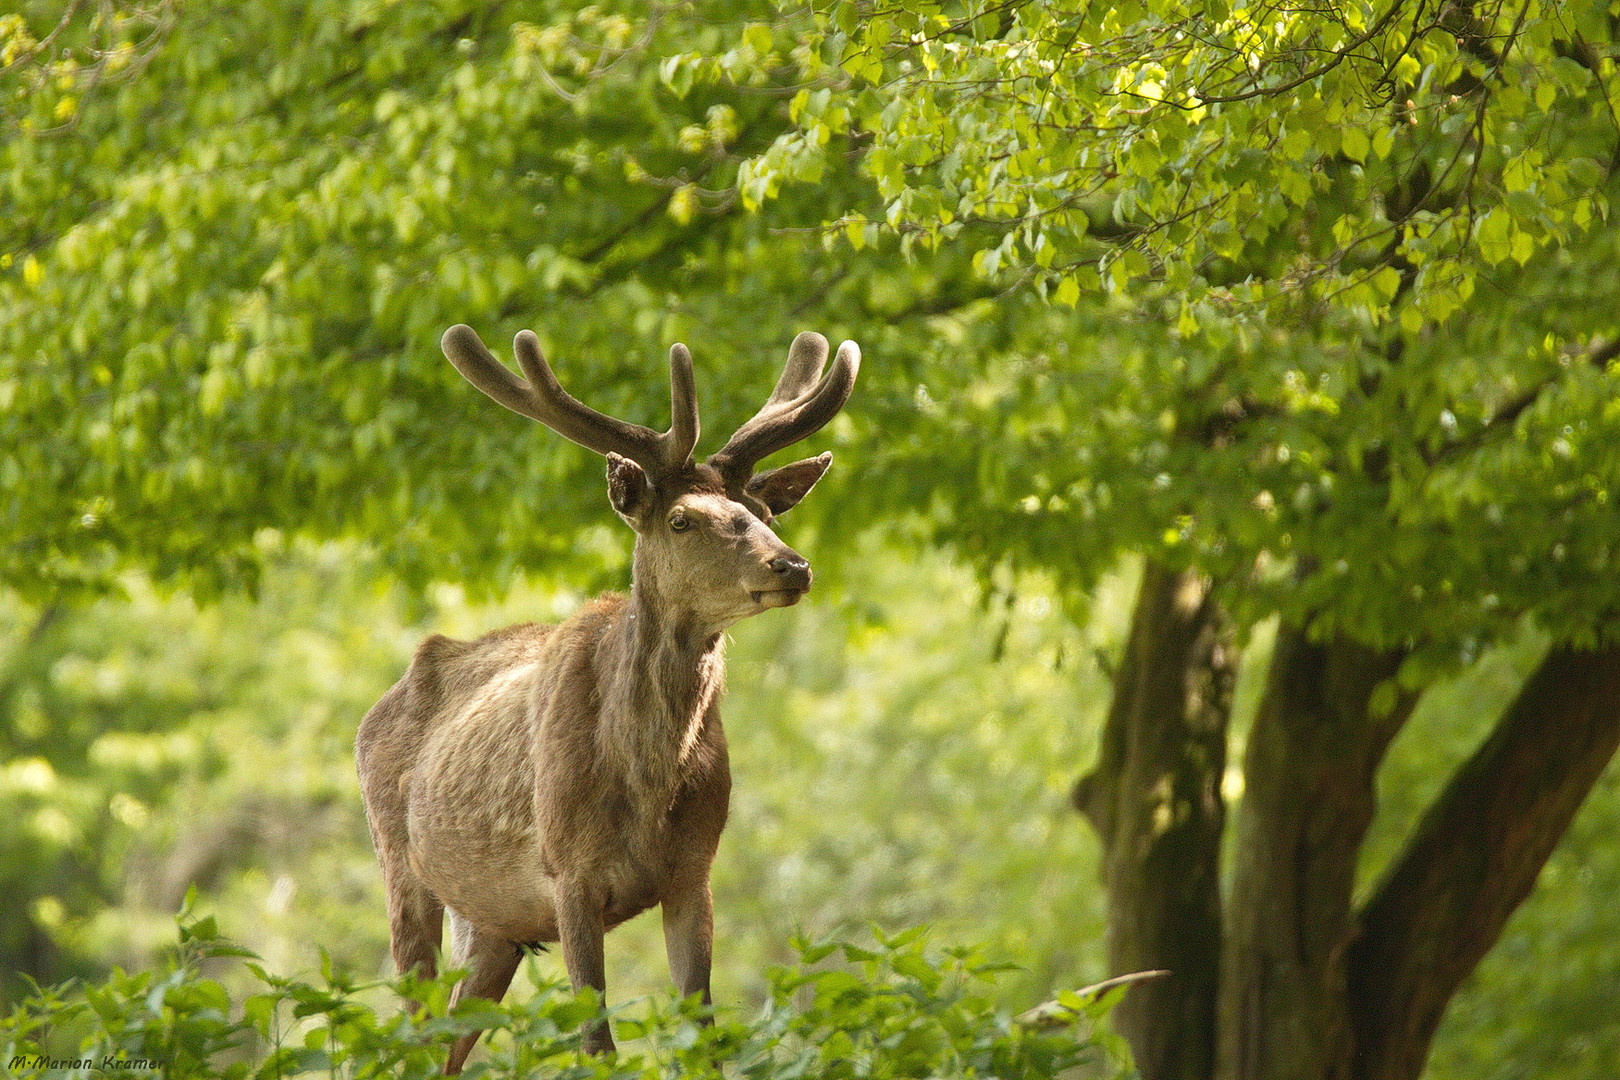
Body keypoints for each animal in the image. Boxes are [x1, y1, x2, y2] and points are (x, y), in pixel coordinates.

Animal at [354, 323, 861, 1075]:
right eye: (681, 519)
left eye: (764, 511)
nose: (792, 565)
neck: (646, 789)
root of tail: (371, 714)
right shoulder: (570, 875)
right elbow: (598, 1044)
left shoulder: (693, 874)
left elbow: (705, 1039)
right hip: (399, 865)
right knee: (408, 1036)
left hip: (492, 924)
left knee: (449, 1041)